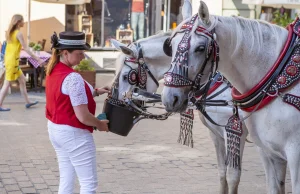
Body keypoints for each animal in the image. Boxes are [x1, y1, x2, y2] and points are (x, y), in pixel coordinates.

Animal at [110, 29, 248, 192]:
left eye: (126, 76)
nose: (119, 103)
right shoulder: (216, 134)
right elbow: (222, 172)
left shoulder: (236, 134)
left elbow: (232, 177)